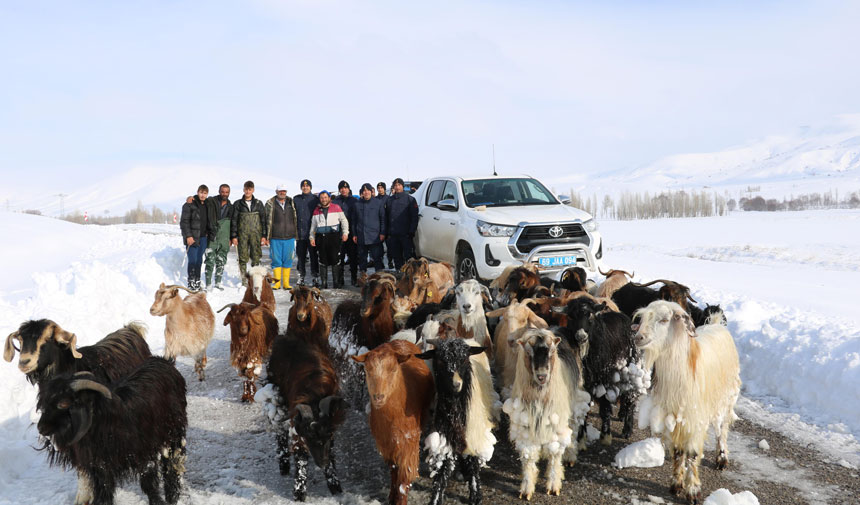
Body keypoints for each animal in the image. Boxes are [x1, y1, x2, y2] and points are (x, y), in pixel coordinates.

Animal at [36, 356, 187, 504]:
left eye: (63, 403)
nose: (41, 428)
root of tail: (165, 361)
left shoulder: (144, 453)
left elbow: (148, 483)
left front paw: (158, 501)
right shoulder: (99, 465)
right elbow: (103, 490)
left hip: (174, 432)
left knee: (173, 463)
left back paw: (172, 495)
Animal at [352, 338, 434, 504]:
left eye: (393, 369)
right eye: (367, 370)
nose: (378, 397)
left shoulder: (409, 442)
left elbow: (404, 479)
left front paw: (400, 499)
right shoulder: (386, 444)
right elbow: (393, 470)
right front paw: (391, 495)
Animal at [632, 302, 740, 502]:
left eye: (664, 319)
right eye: (642, 318)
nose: (638, 337)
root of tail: (716, 324)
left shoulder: (694, 418)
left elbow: (692, 454)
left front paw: (693, 491)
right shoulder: (674, 417)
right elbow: (677, 451)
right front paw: (676, 484)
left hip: (725, 399)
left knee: (722, 430)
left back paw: (722, 459)